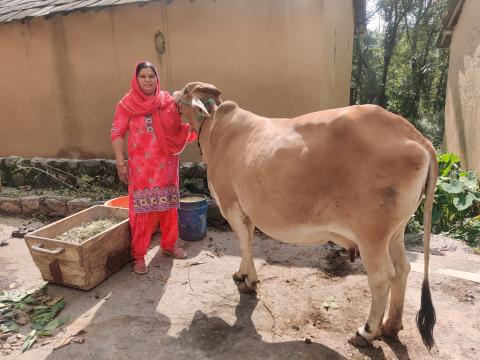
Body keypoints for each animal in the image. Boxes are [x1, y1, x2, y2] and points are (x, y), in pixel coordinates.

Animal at [174, 82, 436, 348]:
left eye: (185, 92)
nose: (172, 96)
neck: (214, 130)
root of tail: (409, 131)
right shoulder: (247, 213)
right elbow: (246, 244)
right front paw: (242, 274)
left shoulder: (231, 207)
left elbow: (244, 245)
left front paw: (250, 282)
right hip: (395, 231)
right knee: (402, 268)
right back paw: (391, 325)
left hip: (372, 234)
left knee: (382, 276)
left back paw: (367, 331)